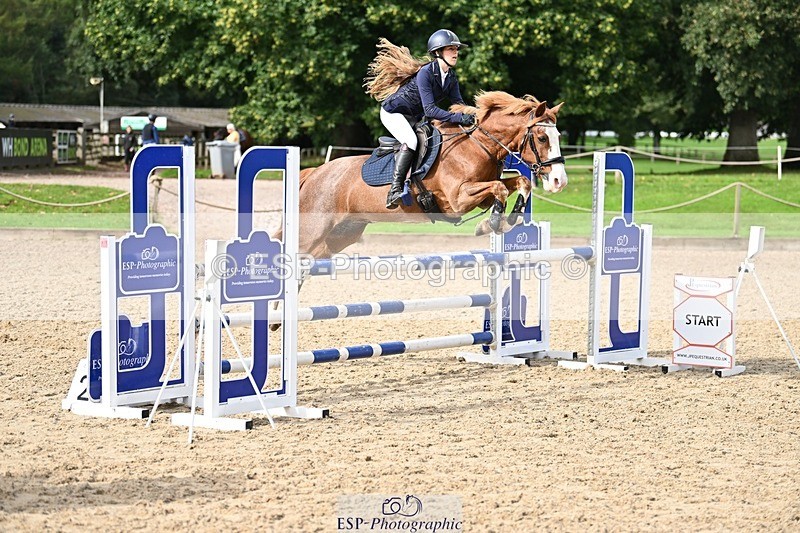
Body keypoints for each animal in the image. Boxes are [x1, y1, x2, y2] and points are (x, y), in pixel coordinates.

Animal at [286, 91, 567, 258]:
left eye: (558, 135)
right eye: (542, 137)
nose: (559, 181)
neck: (476, 146)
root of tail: (315, 173)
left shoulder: (480, 194)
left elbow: (521, 182)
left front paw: (506, 220)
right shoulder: (457, 199)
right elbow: (499, 189)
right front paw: (494, 223)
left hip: (342, 234)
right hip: (313, 231)